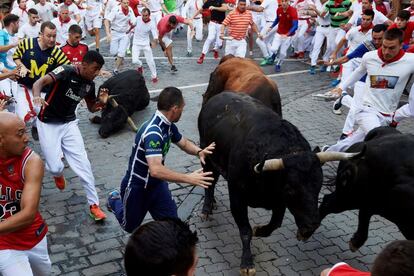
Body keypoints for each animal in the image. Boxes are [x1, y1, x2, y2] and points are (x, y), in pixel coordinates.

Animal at [198, 93, 356, 276]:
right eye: (291, 190)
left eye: (318, 186)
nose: (312, 225)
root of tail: (217, 97)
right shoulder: (237, 195)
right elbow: (245, 230)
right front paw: (247, 263)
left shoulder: (279, 201)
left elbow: (275, 223)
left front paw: (260, 230)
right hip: (206, 154)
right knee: (209, 180)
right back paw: (207, 208)